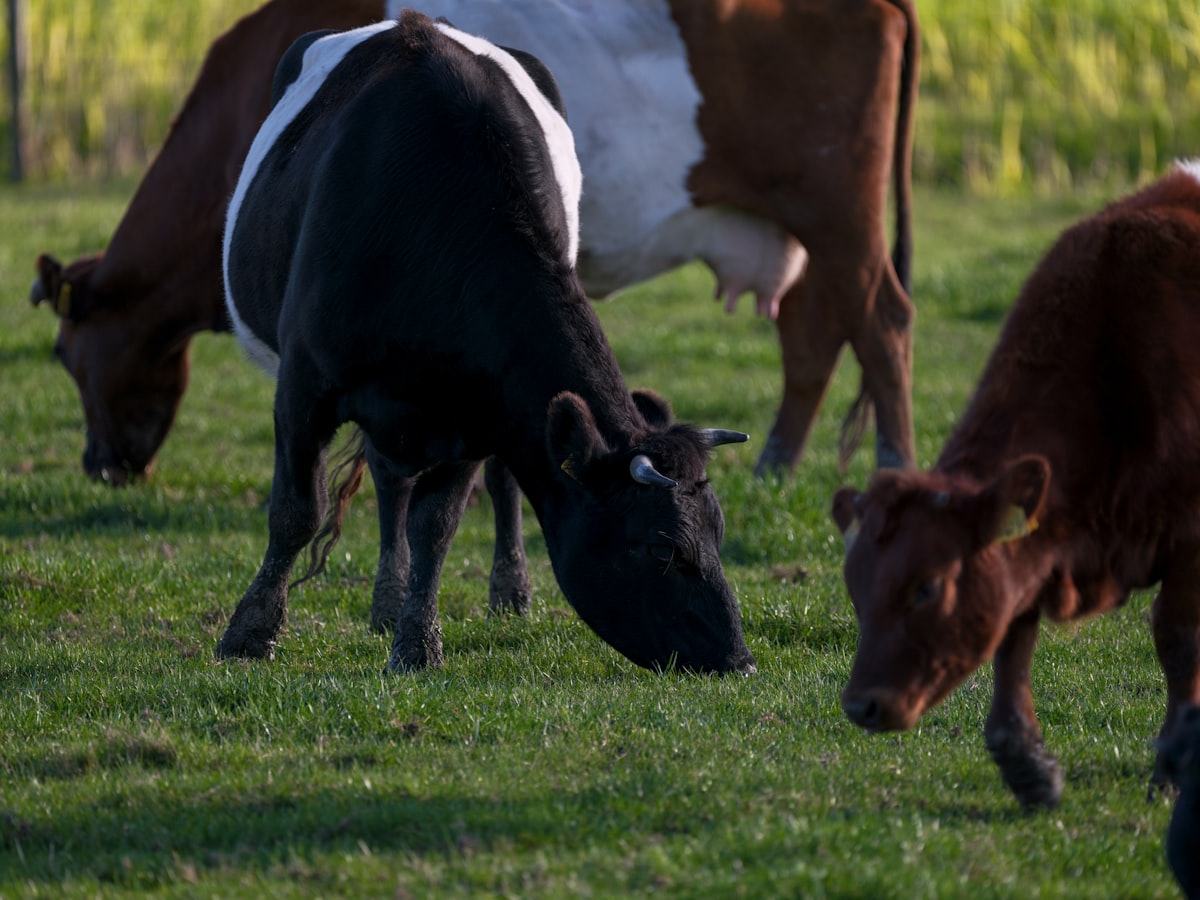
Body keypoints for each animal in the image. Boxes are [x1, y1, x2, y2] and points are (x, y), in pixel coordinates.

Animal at [31, 0, 919, 482]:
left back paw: (894, 462)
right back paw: (776, 463)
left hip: (839, 215)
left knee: (881, 322)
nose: (100, 465)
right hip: (795, 229)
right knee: (813, 335)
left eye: (69, 359)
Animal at [218, 13, 757, 676]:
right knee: (387, 482)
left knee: (483, 483)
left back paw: (503, 591)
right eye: (661, 549)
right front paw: (249, 632)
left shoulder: (477, 408)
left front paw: (417, 644)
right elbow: (296, 511)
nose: (739, 659)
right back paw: (384, 601)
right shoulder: (303, 385)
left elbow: (436, 524)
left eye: (718, 533)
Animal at [831, 163, 1200, 808]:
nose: (860, 705)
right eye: (856, 588)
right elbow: (1012, 636)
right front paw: (1025, 763)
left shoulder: (1192, 532)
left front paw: (1174, 767)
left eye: (926, 588)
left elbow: (1177, 638)